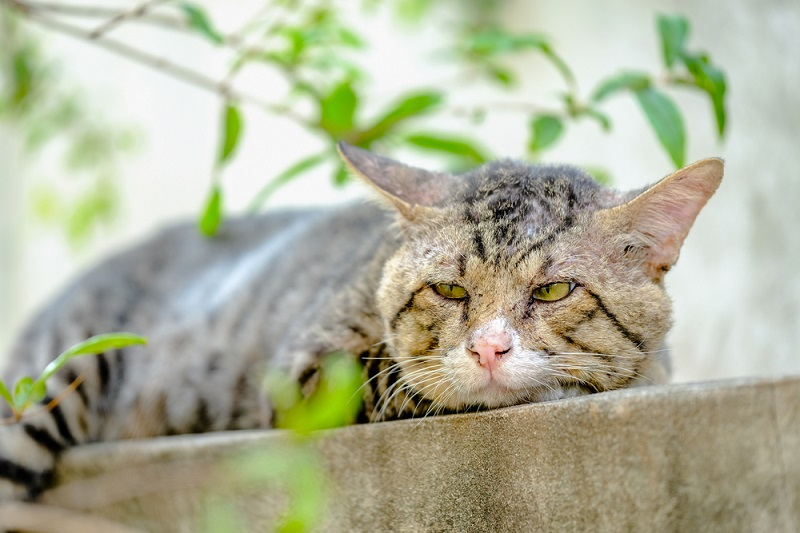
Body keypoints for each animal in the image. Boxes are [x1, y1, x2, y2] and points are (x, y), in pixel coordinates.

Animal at [0, 142, 720, 498]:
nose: (488, 348)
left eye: (553, 290)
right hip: (50, 387)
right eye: (449, 288)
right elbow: (406, 379)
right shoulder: (308, 373)